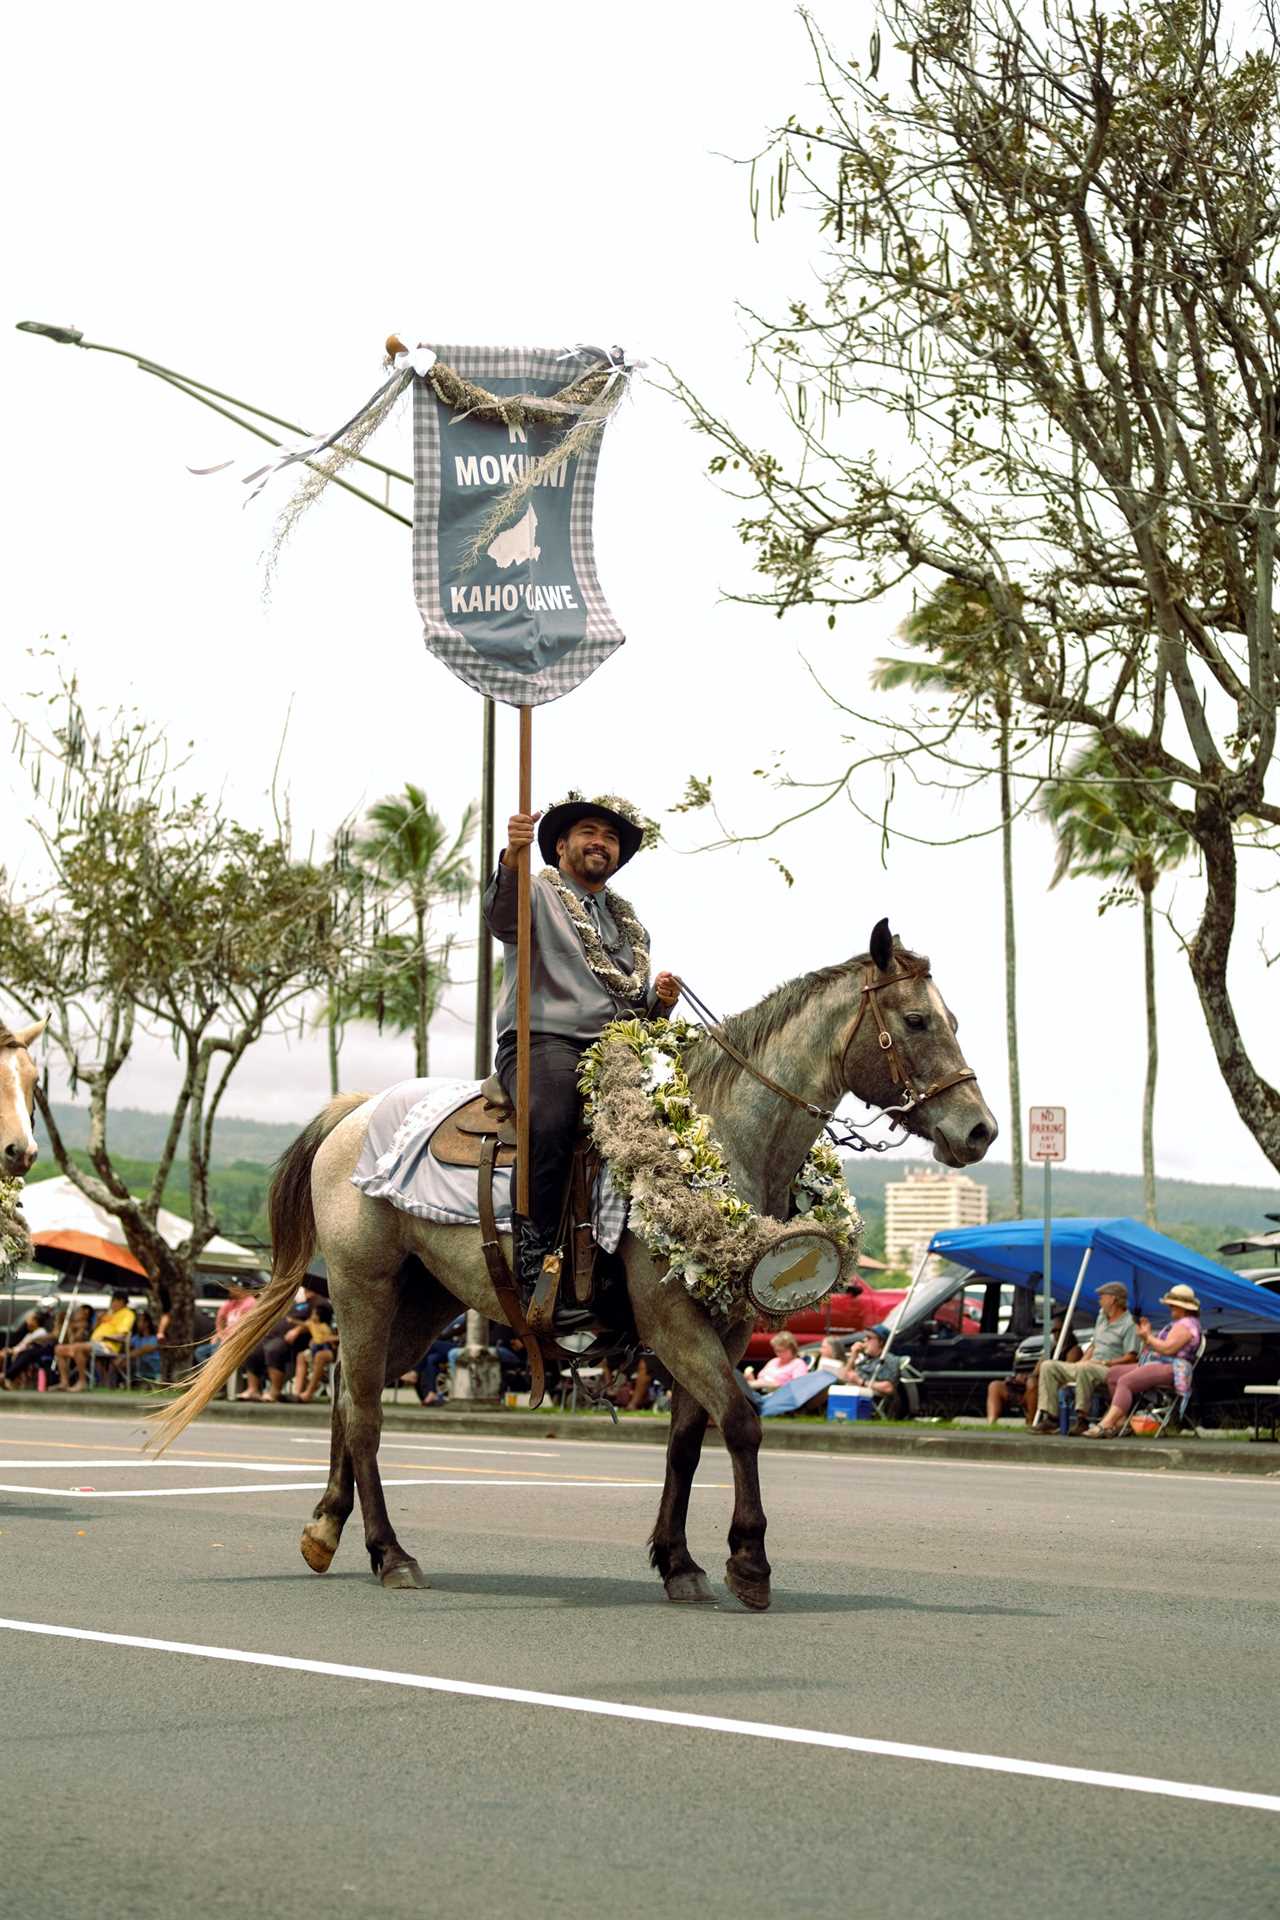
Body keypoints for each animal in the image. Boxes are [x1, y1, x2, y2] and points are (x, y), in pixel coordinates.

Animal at [150, 921, 990, 1612]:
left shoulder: (724, 1322)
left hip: (422, 1302)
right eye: (916, 1021)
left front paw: (679, 1562)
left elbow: (690, 1439)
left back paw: (326, 1528)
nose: (980, 1130)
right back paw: (391, 1554)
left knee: (342, 1396)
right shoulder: (671, 1319)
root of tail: (352, 1111)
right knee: (364, 1414)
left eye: (953, 1020)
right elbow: (743, 1423)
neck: (724, 1133)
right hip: (364, 1288)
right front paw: (748, 1562)